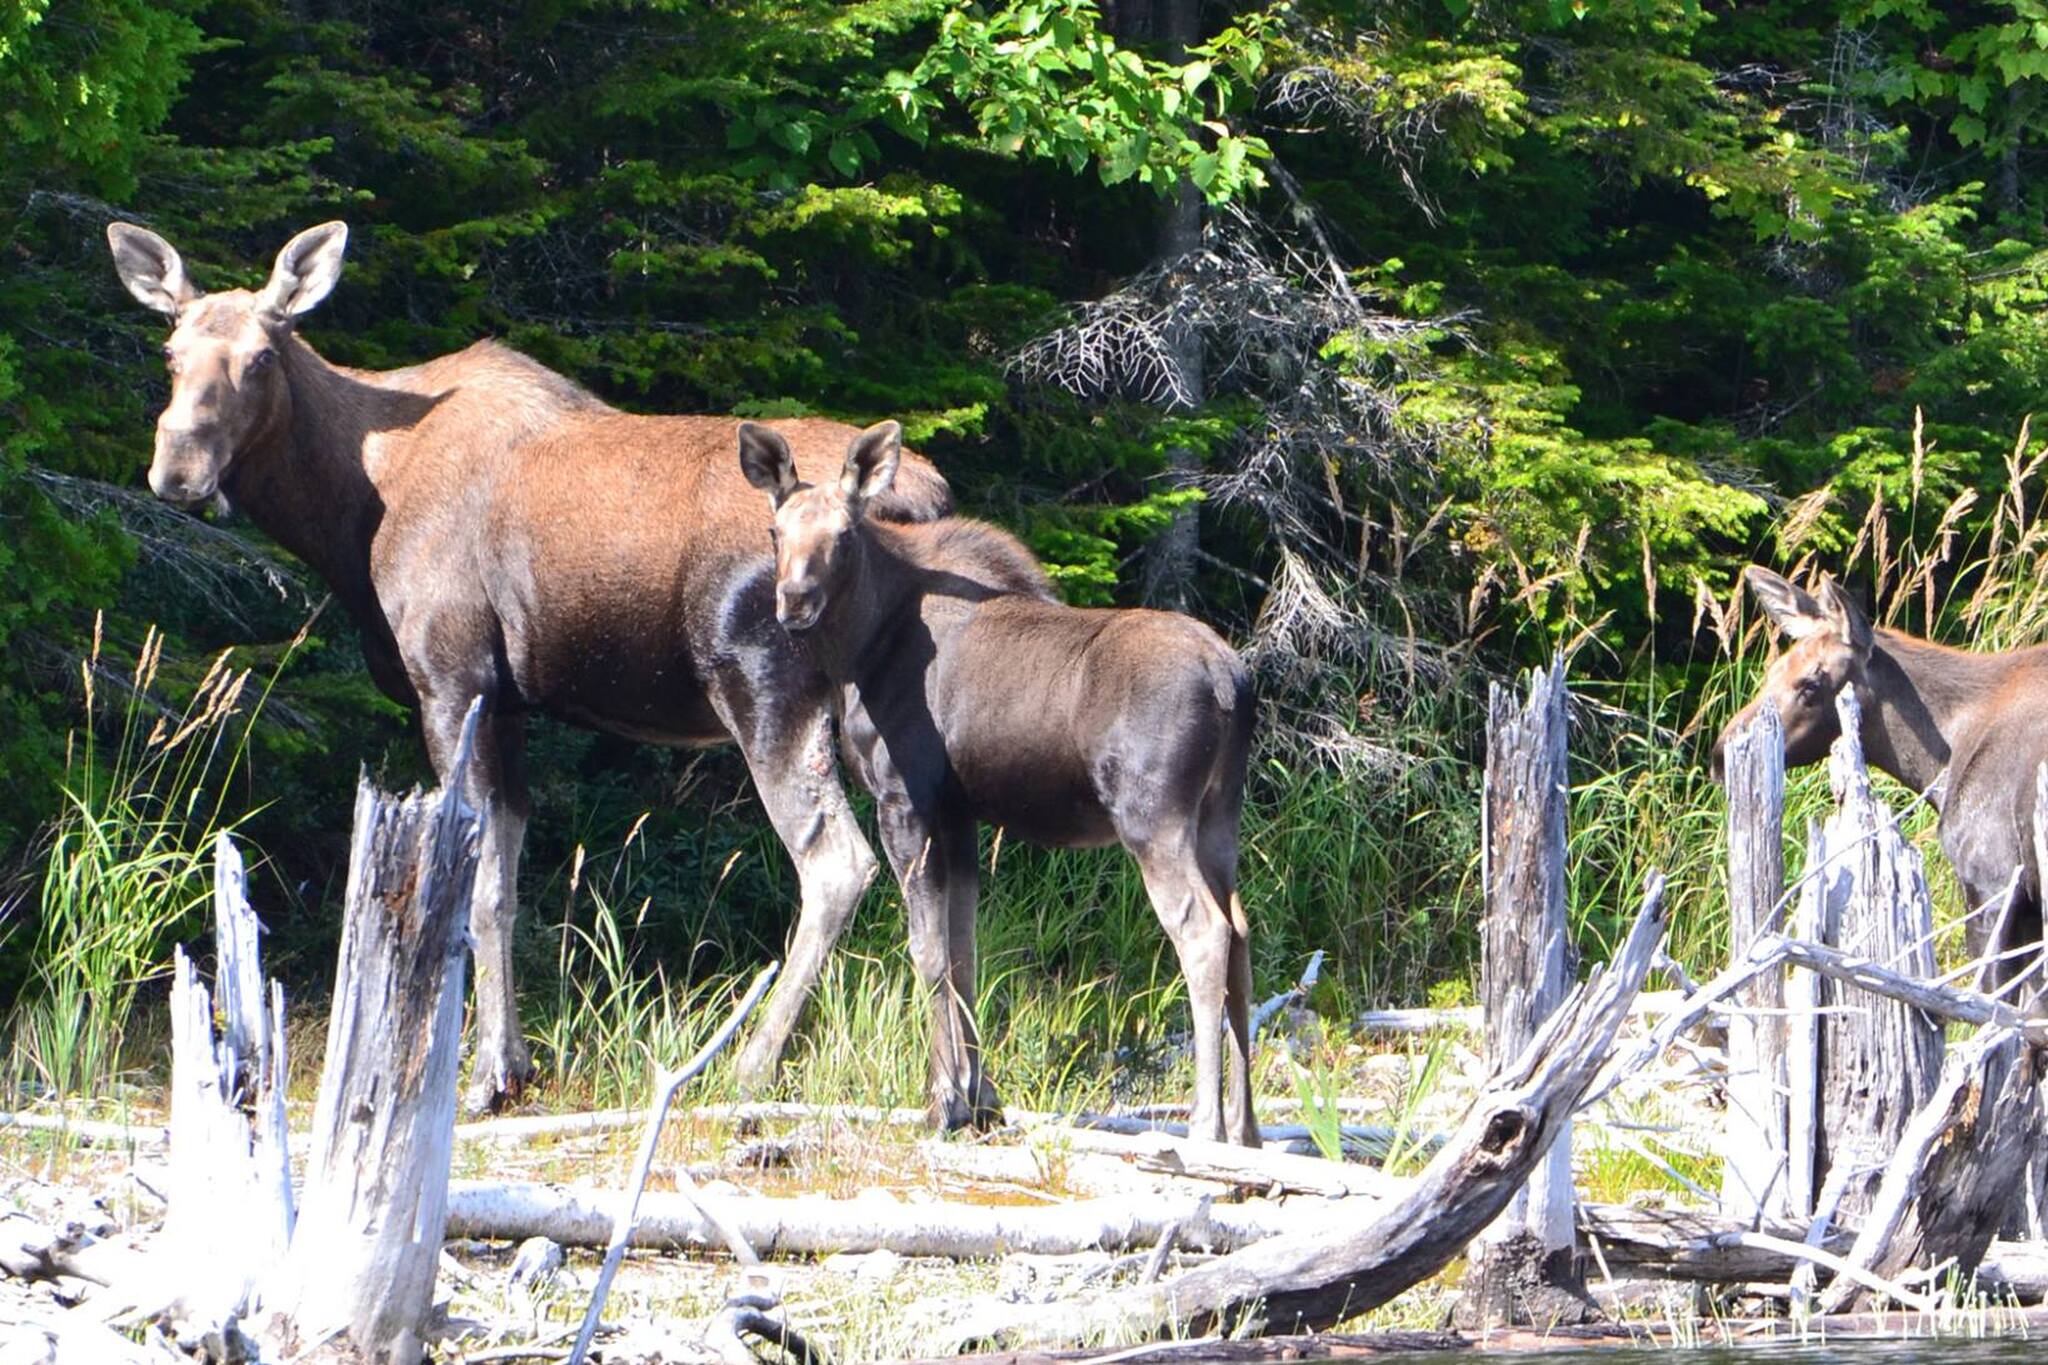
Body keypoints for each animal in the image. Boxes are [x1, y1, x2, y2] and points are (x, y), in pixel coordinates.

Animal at [103, 215, 950, 1113]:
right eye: (171, 351)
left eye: (263, 356)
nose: (178, 472)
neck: (349, 513)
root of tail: (922, 495)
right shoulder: (506, 702)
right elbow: (504, 886)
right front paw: (511, 1061)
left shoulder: (451, 677)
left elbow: (472, 889)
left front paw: (483, 1077)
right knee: (927, 861)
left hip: (763, 684)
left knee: (838, 864)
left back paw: (752, 1063)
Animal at [733, 419, 1245, 1146]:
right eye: (777, 531)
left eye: (845, 534)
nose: (794, 600)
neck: (861, 650)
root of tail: (1233, 681)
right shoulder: (961, 812)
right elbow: (966, 950)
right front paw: (979, 1099)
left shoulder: (906, 796)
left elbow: (926, 950)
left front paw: (943, 1102)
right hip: (1220, 815)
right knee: (1244, 933)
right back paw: (1247, 1130)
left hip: (1156, 817)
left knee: (1204, 931)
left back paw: (1205, 1125)